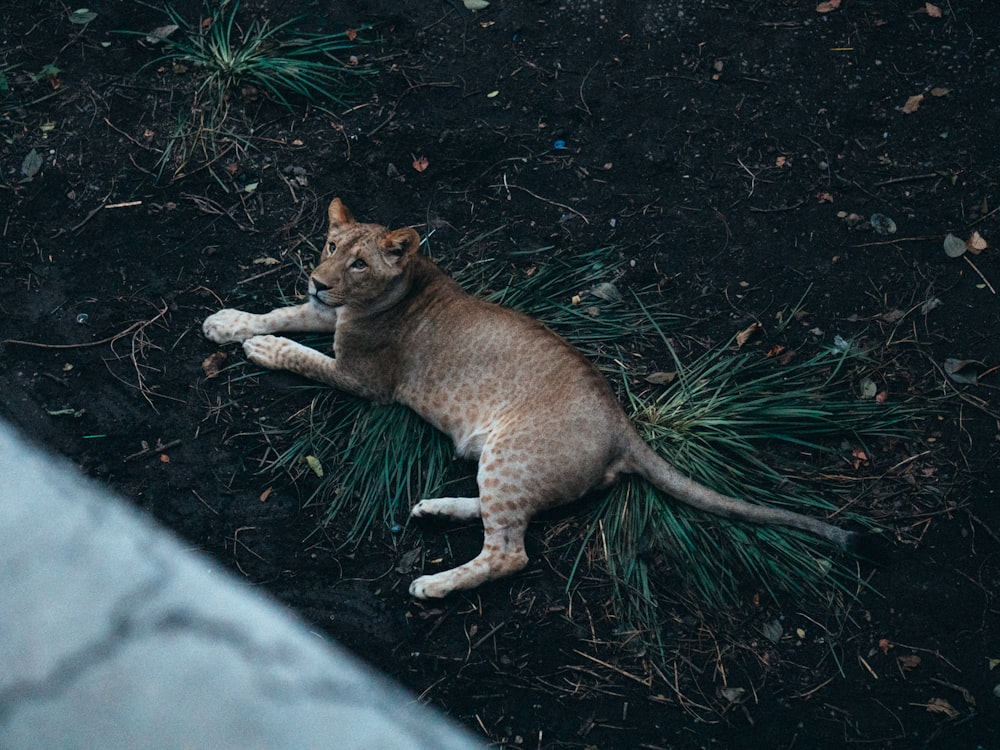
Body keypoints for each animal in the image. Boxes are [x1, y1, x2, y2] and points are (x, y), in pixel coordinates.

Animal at [203, 198, 868, 600]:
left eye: (360, 262)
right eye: (329, 248)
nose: (318, 280)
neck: (395, 289)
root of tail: (625, 427)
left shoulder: (366, 380)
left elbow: (302, 354)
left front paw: (261, 347)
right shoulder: (329, 318)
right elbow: (284, 312)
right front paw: (226, 322)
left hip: (514, 455)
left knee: (509, 553)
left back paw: (432, 584)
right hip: (507, 465)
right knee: (503, 521)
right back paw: (434, 507)